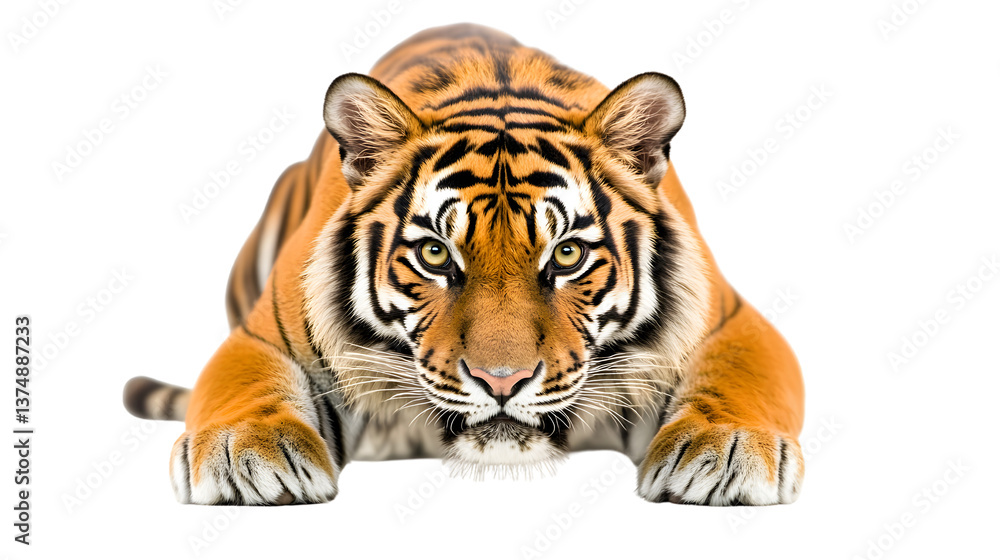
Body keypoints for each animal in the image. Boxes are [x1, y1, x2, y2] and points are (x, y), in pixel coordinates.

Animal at [124, 23, 804, 506]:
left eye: (567, 254)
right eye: (434, 254)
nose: (502, 382)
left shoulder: (730, 319)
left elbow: (740, 374)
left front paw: (725, 449)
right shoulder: (263, 332)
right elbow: (245, 381)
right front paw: (248, 452)